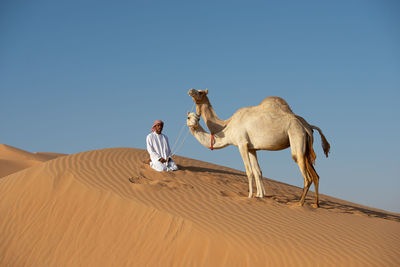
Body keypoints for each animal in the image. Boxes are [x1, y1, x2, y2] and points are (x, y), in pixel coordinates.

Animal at [186, 89, 330, 208]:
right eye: (189, 117)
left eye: (200, 92)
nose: (190, 91)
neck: (228, 127)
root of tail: (308, 126)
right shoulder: (252, 148)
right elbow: (258, 171)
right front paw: (260, 195)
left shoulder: (242, 144)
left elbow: (249, 171)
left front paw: (250, 196)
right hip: (306, 148)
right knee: (316, 176)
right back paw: (316, 204)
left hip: (296, 137)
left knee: (306, 175)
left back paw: (300, 203)